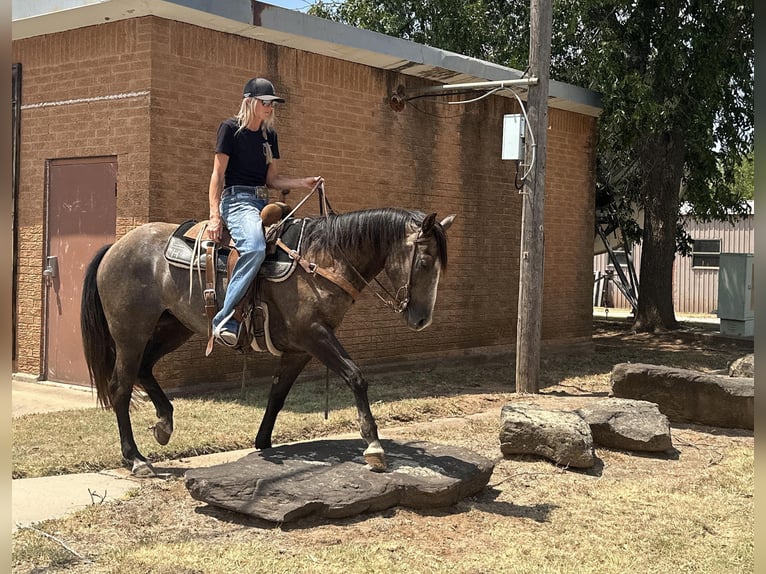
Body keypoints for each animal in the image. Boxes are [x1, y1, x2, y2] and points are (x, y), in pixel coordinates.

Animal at [82, 209, 456, 474]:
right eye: (425, 261)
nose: (422, 319)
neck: (321, 260)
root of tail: (116, 246)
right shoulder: (315, 335)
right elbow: (355, 376)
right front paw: (374, 445)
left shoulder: (299, 349)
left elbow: (277, 393)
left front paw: (262, 442)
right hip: (131, 333)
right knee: (120, 387)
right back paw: (135, 458)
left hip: (174, 327)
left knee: (145, 369)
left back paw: (164, 423)